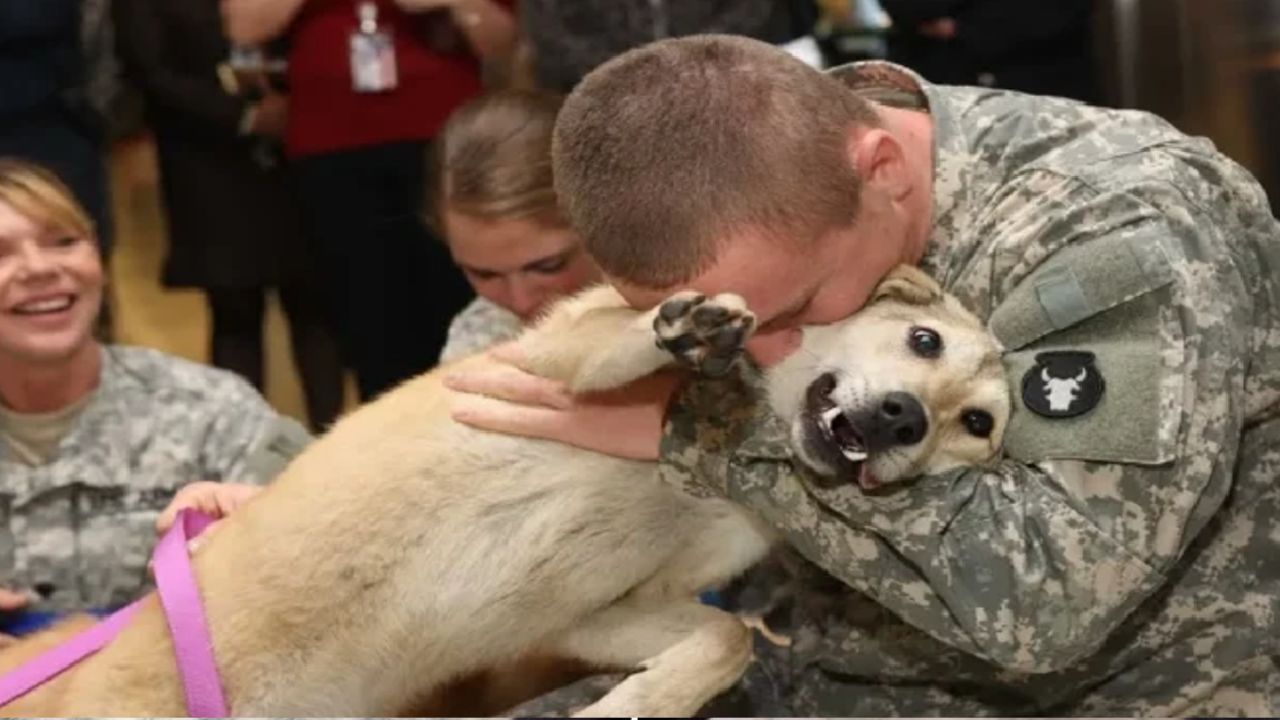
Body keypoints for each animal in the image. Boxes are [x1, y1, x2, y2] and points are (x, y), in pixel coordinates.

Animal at [2, 265, 1008, 717]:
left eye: (979, 424)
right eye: (922, 341)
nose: (901, 421)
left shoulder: (594, 614)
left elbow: (726, 640)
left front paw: (634, 705)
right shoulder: (544, 362)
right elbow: (616, 342)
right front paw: (683, 332)